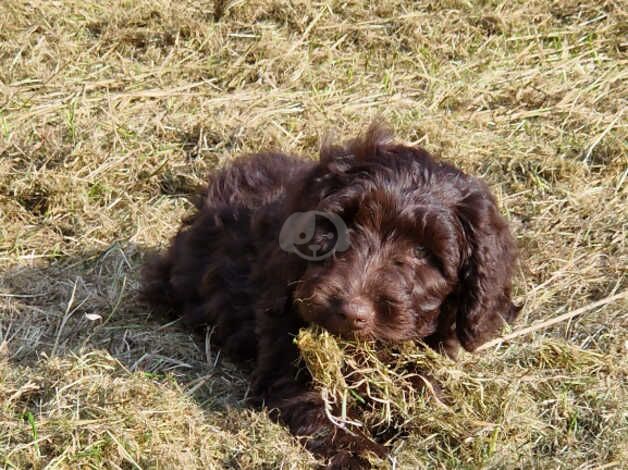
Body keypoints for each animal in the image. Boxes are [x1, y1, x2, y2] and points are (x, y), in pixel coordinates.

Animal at [142, 123, 520, 468]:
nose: (351, 312)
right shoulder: (288, 362)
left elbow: (419, 387)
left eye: (422, 252)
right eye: (341, 227)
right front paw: (362, 453)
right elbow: (318, 412)